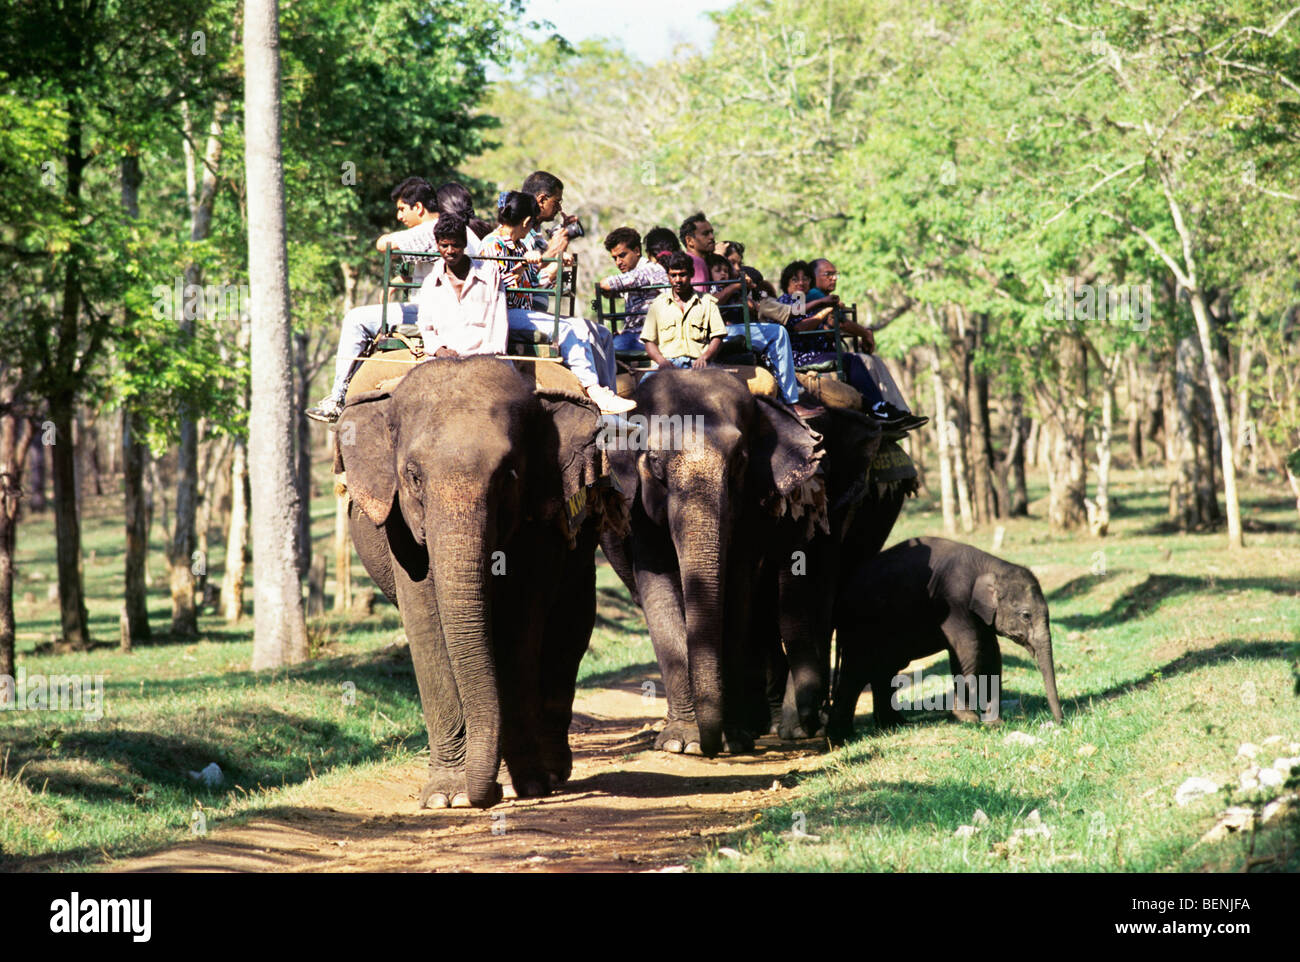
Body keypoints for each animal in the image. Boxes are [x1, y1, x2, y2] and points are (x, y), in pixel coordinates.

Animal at [337, 355, 613, 808]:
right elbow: (426, 621)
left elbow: (523, 620)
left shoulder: (543, 504)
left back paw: (552, 772)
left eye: (508, 475)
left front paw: (528, 786)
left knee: (571, 619)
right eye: (413, 475)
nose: (485, 794)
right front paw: (446, 797)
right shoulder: (399, 523)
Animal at [600, 367, 823, 757]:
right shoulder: (640, 513)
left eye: (739, 460)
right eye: (654, 461)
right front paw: (679, 742)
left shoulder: (747, 509)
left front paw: (733, 740)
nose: (709, 746)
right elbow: (658, 592)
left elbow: (736, 592)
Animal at [827, 536, 1065, 742]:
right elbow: (969, 650)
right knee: (856, 673)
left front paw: (995, 722)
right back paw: (842, 737)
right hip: (859, 627)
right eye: (1026, 615)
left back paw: (894, 725)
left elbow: (992, 655)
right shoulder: (954, 602)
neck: (991, 565)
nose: (1059, 723)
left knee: (884, 671)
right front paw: (968, 719)